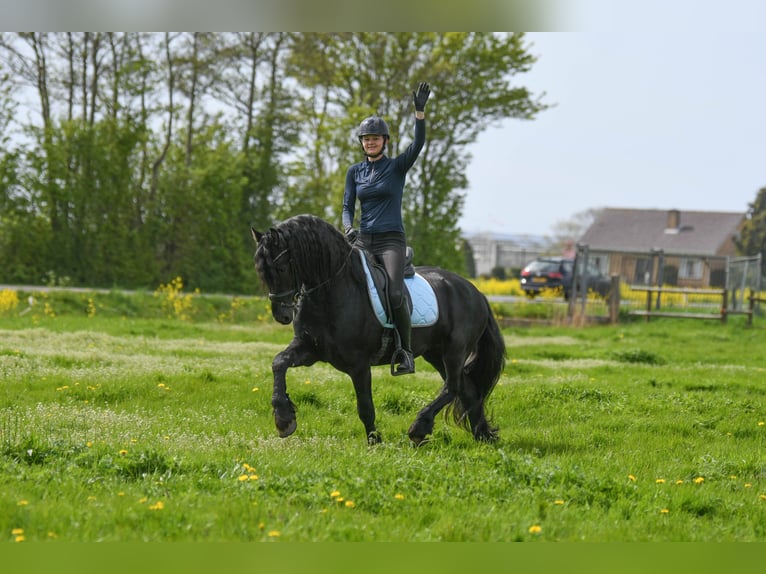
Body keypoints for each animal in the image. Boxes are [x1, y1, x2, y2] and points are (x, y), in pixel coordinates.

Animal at [251, 214, 506, 445]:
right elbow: (278, 362)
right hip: (435, 353)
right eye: (260, 270)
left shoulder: (358, 364)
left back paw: (419, 429)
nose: (282, 315)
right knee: (467, 390)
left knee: (453, 387)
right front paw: (284, 419)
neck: (332, 290)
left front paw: (374, 441)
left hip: (455, 351)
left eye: (281, 268)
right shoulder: (309, 349)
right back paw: (481, 435)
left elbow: (365, 406)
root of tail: (476, 292)